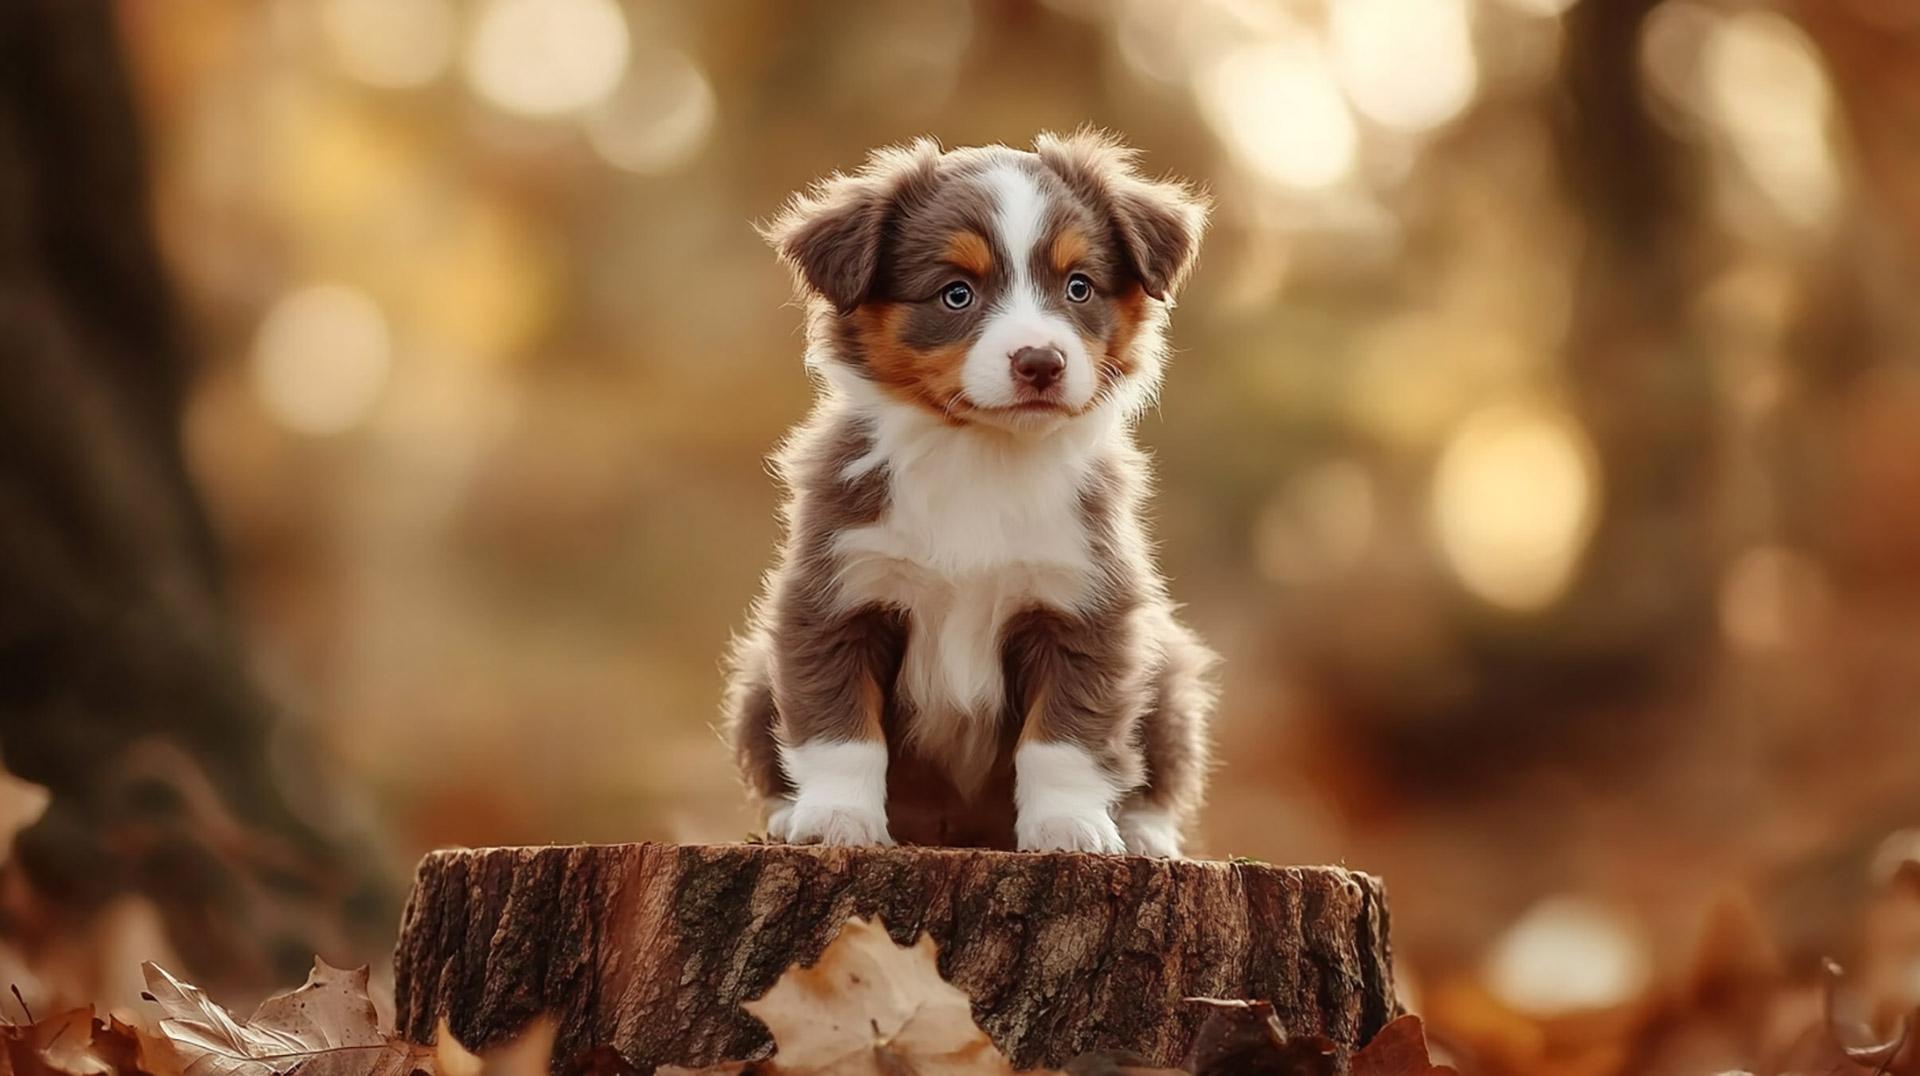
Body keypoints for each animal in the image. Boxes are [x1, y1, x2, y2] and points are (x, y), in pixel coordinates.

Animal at [721, 130, 1213, 856]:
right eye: (957, 294)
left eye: (1078, 286)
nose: (1041, 362)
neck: (983, 454)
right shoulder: (836, 593)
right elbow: (838, 724)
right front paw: (838, 819)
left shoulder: (1085, 604)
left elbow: (1066, 736)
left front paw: (1068, 827)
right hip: (758, 675)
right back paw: (788, 816)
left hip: (1169, 669)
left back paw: (1144, 833)